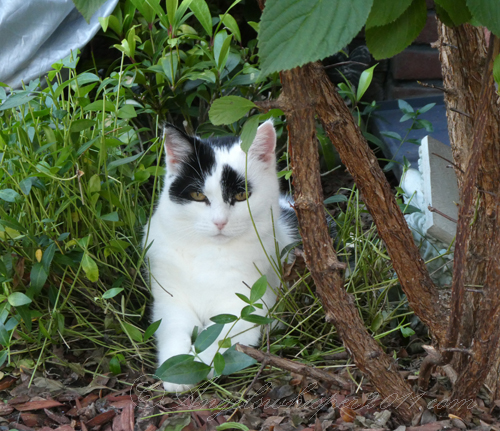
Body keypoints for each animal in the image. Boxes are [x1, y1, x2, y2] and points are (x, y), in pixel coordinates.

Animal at [143, 120, 297, 392]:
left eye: (241, 196)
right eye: (197, 196)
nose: (219, 222)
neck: (208, 252)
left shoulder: (246, 310)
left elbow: (217, 339)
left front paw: (190, 367)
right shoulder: (170, 302)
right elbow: (172, 330)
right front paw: (174, 369)